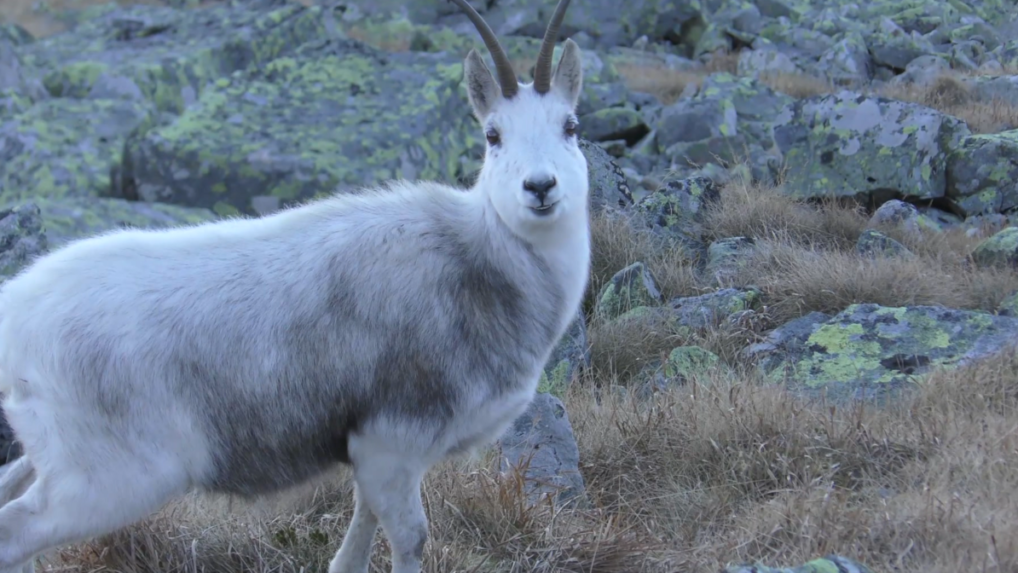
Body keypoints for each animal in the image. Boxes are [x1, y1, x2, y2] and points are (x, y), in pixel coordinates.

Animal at [0, 0, 590, 569]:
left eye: (571, 126)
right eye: (493, 135)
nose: (540, 187)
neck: (477, 253)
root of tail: (16, 317)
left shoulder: (374, 457)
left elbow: (357, 538)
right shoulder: (392, 443)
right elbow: (410, 540)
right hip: (107, 479)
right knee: (16, 533)